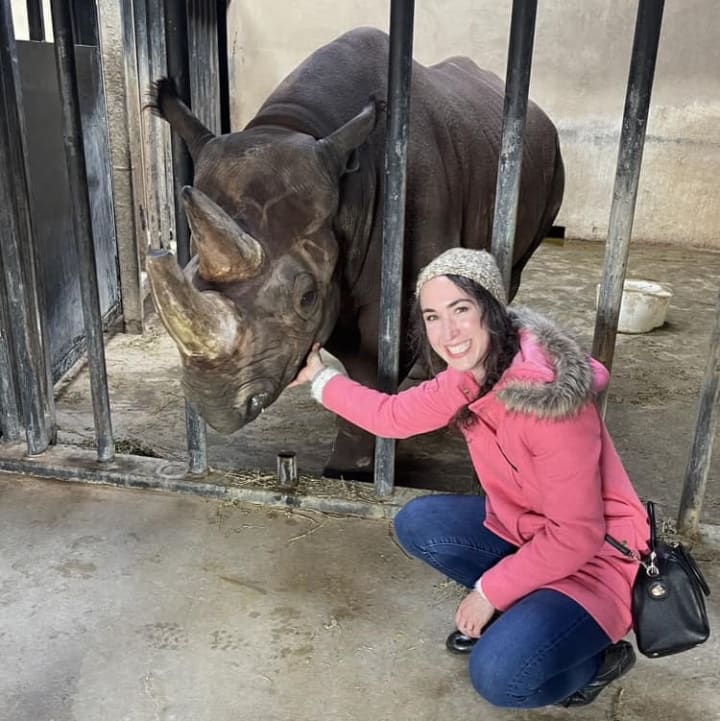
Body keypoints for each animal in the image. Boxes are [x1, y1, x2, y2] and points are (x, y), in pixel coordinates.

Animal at [146, 27, 564, 480]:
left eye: (306, 298)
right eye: (188, 277)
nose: (215, 404)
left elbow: (373, 362)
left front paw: (357, 471)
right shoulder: (339, 275)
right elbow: (354, 360)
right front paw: (350, 466)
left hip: (551, 161)